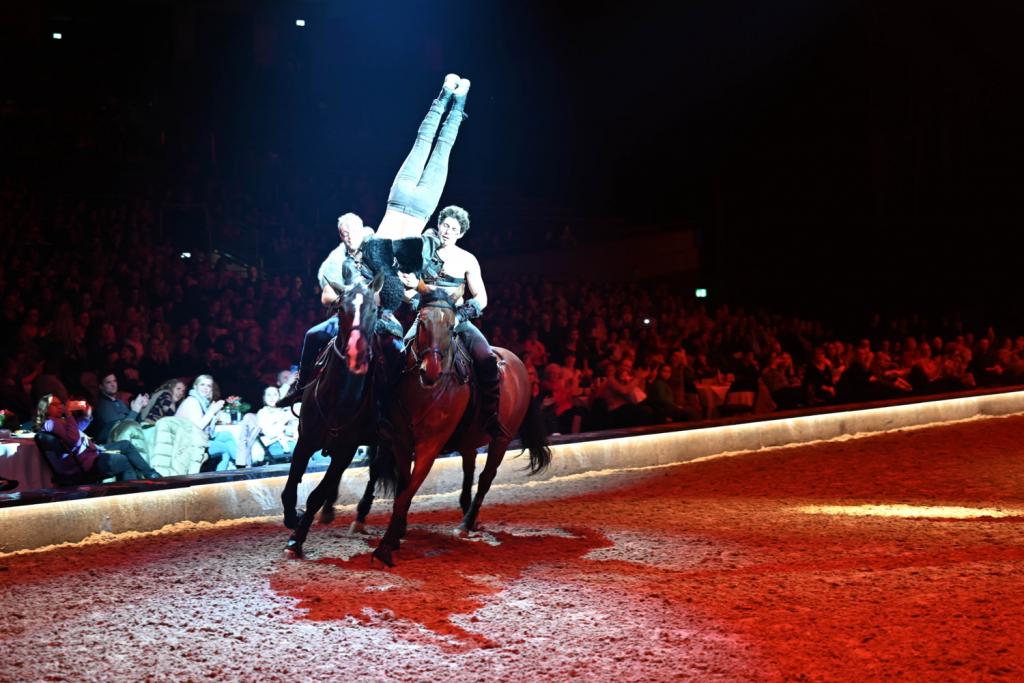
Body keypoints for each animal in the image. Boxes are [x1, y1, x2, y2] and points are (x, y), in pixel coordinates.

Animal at [280, 272, 383, 557]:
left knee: (374, 472)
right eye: (340, 309)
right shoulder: (305, 441)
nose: (357, 354)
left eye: (374, 308)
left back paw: (360, 515)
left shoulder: (347, 448)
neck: (338, 397)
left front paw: (296, 539)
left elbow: (316, 493)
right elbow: (291, 485)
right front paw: (292, 517)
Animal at [367, 292, 551, 567]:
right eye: (422, 323)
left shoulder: (430, 446)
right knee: (469, 472)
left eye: (451, 328)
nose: (430, 370)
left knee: (485, 478)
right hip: (469, 440)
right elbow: (404, 487)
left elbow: (409, 489)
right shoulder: (401, 441)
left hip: (501, 440)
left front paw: (387, 545)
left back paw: (466, 523)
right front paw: (398, 531)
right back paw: (468, 517)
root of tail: (518, 364)